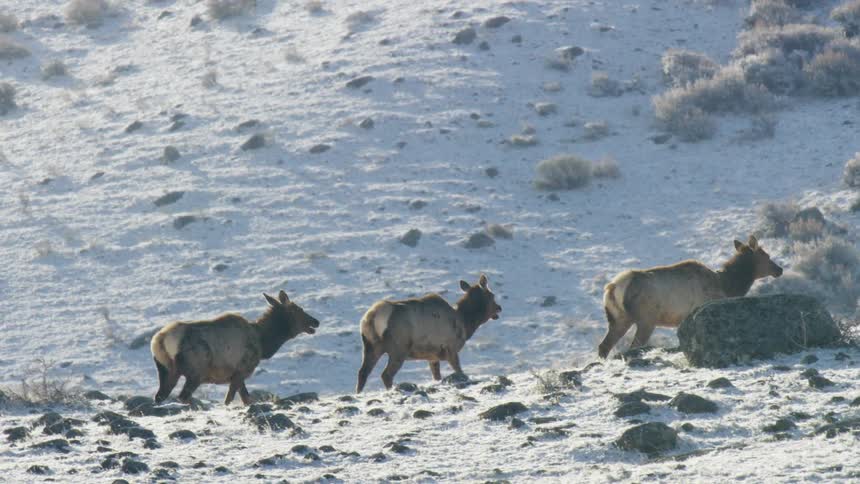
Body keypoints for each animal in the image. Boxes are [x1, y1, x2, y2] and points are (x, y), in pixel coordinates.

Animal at [150, 290, 319, 405]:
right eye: (297, 310)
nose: (316, 322)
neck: (263, 342)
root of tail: (160, 340)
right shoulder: (241, 370)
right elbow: (230, 399)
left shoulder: (236, 375)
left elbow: (246, 399)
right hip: (195, 372)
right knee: (182, 396)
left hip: (166, 371)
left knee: (159, 396)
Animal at [356, 274, 502, 393]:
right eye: (492, 295)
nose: (499, 308)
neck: (465, 322)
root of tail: (373, 316)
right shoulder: (451, 348)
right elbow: (459, 371)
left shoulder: (433, 356)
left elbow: (437, 376)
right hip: (399, 348)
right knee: (386, 374)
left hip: (371, 346)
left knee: (362, 372)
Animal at [599, 235, 783, 358]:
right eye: (766, 255)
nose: (779, 270)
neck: (726, 286)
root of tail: (612, 288)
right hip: (646, 319)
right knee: (633, 346)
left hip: (619, 319)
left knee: (604, 346)